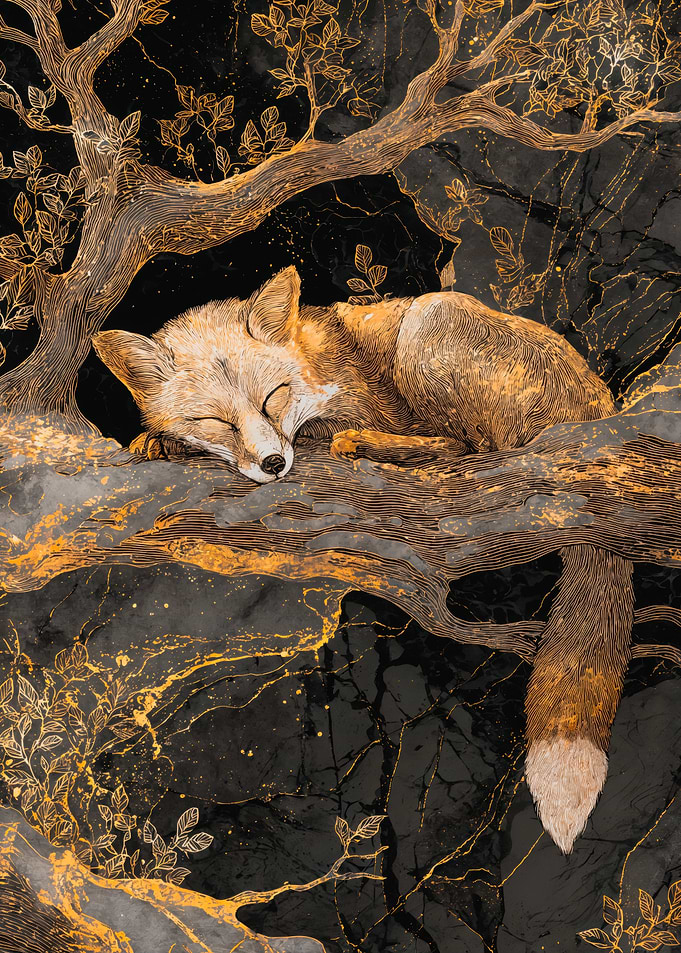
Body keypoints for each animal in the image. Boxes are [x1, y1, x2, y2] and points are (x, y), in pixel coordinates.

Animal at [93, 265, 633, 854]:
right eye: (216, 420)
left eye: (272, 397)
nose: (274, 463)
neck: (313, 364)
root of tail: (601, 417)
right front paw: (156, 441)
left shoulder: (353, 408)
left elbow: (327, 431)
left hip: (428, 327)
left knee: (466, 449)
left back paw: (371, 447)